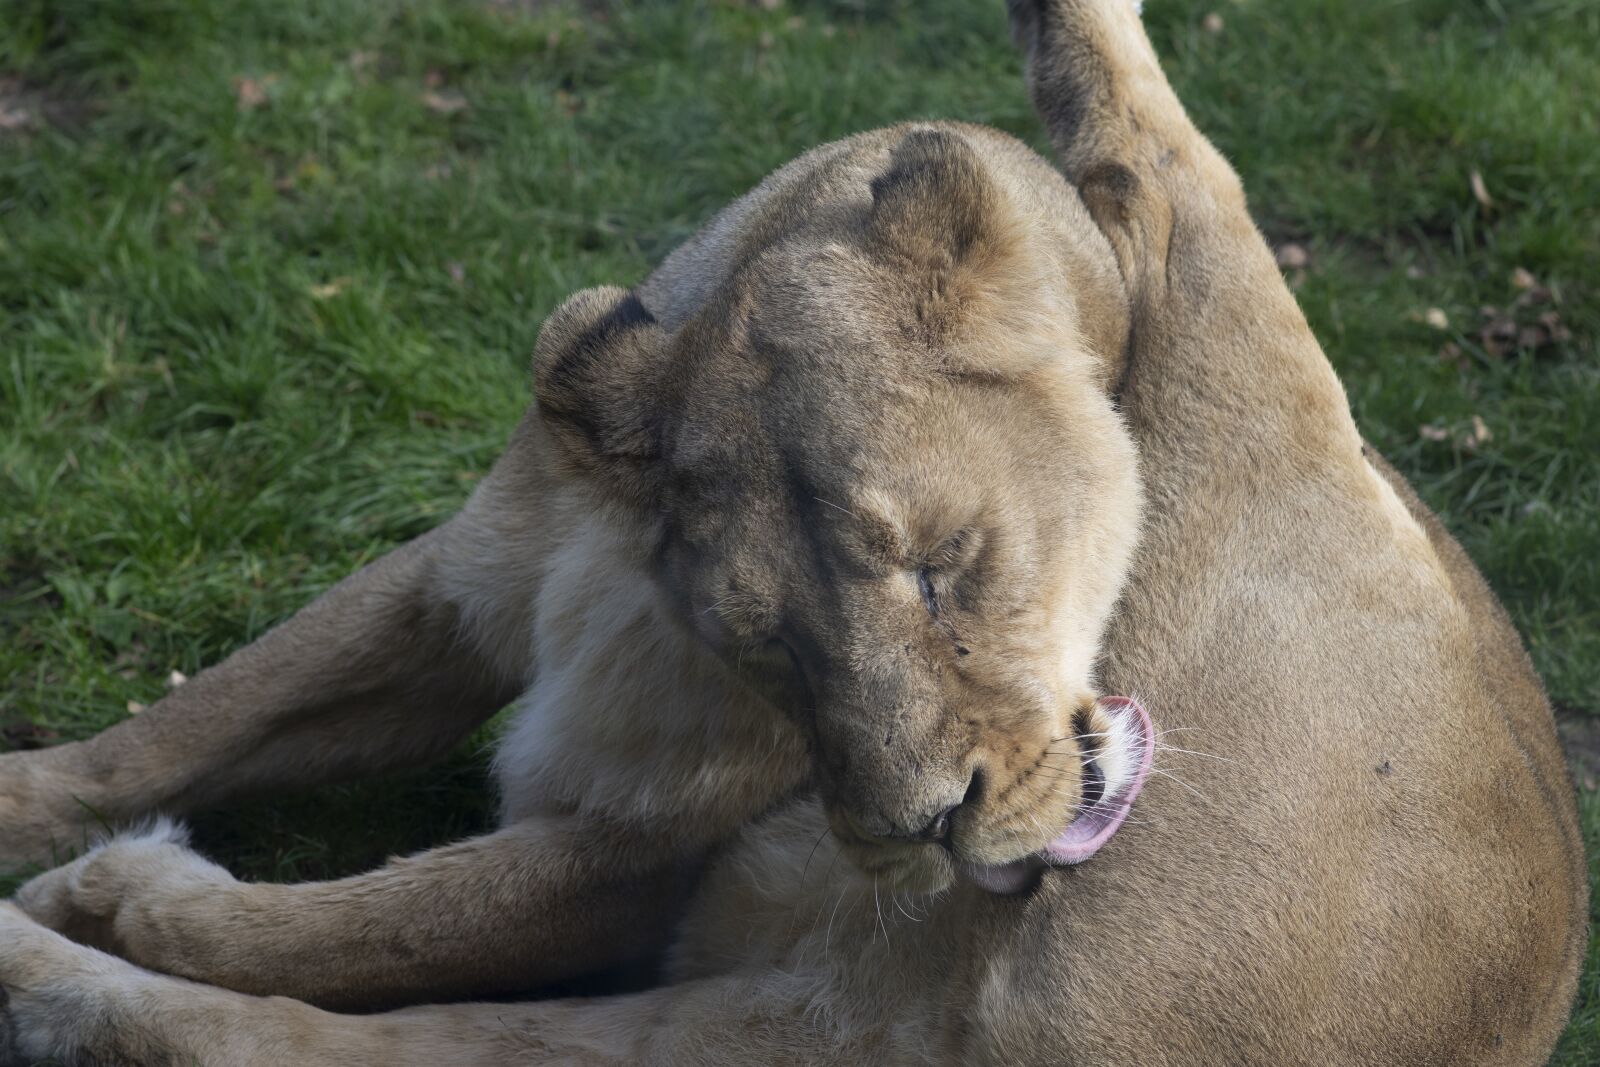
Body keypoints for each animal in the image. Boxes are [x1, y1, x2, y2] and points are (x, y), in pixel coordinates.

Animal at [0, 1, 1585, 1064]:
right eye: (765, 644)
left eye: (948, 568)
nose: (922, 824)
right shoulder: (459, 584)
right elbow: (197, 715)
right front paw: (36, 795)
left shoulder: (632, 853)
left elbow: (361, 925)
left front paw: (119, 884)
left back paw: (99, 905)